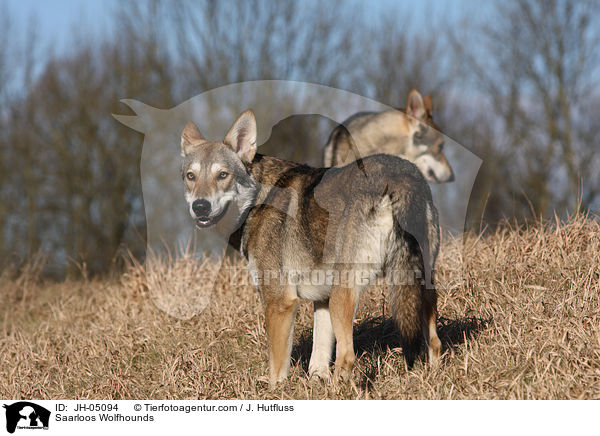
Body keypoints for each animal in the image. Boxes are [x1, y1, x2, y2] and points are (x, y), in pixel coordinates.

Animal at [179, 110, 440, 384]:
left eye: (222, 174)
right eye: (190, 177)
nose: (200, 206)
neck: (258, 198)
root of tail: (401, 176)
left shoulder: (280, 302)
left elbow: (277, 368)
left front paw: (277, 390)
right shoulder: (321, 300)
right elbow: (318, 358)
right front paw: (316, 383)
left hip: (344, 293)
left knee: (347, 356)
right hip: (421, 285)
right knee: (435, 343)